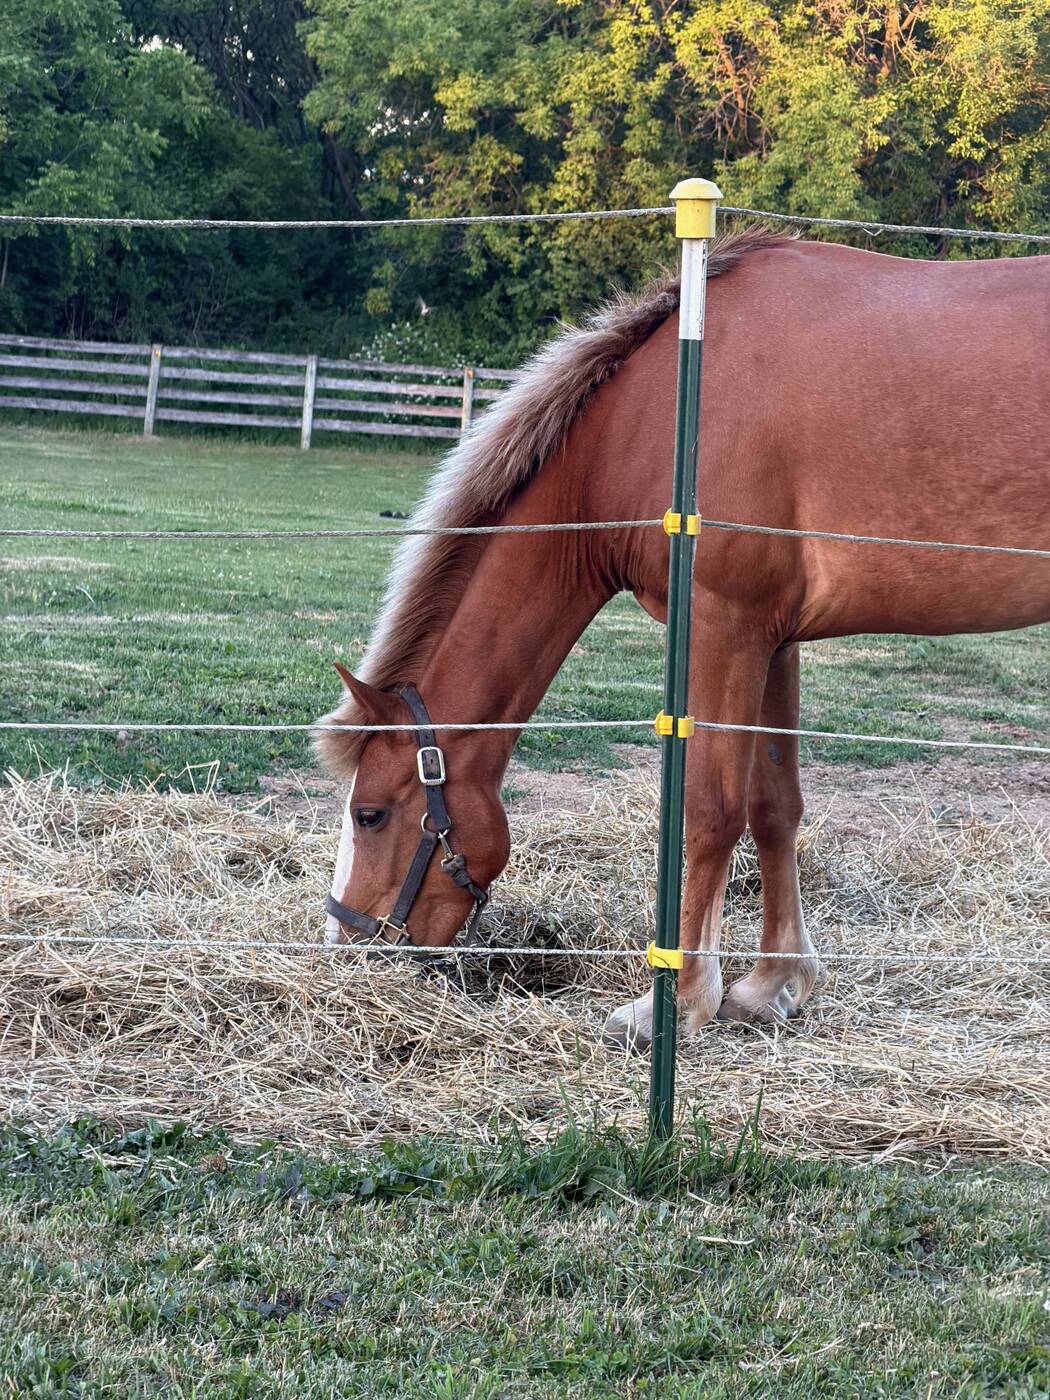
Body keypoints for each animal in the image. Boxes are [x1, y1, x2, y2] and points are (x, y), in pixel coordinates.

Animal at [315, 228, 1050, 1049]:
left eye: (370, 814)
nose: (345, 944)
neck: (657, 423)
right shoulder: (774, 642)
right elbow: (773, 807)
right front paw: (771, 986)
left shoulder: (725, 628)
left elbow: (711, 810)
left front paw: (677, 1001)